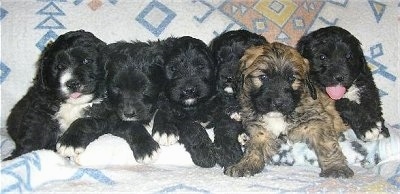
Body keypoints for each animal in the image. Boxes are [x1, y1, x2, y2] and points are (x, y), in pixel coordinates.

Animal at [5, 30, 108, 160]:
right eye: (59, 67)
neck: (73, 105)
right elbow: (33, 135)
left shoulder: (106, 115)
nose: (72, 83)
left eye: (86, 61)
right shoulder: (40, 111)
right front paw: (20, 156)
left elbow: (85, 122)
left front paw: (69, 144)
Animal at [151, 36, 219, 167]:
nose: (189, 90)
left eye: (201, 67)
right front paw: (205, 154)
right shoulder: (175, 113)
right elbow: (193, 128)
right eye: (173, 68)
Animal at [208, 29, 268, 167]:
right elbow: (225, 127)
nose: (227, 77)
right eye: (219, 58)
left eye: (243, 58)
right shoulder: (222, 110)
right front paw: (227, 153)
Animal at [225, 41, 354, 178]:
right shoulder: (260, 130)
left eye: (292, 78)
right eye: (263, 77)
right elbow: (254, 148)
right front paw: (245, 164)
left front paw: (336, 167)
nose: (278, 102)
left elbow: (328, 145)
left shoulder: (317, 122)